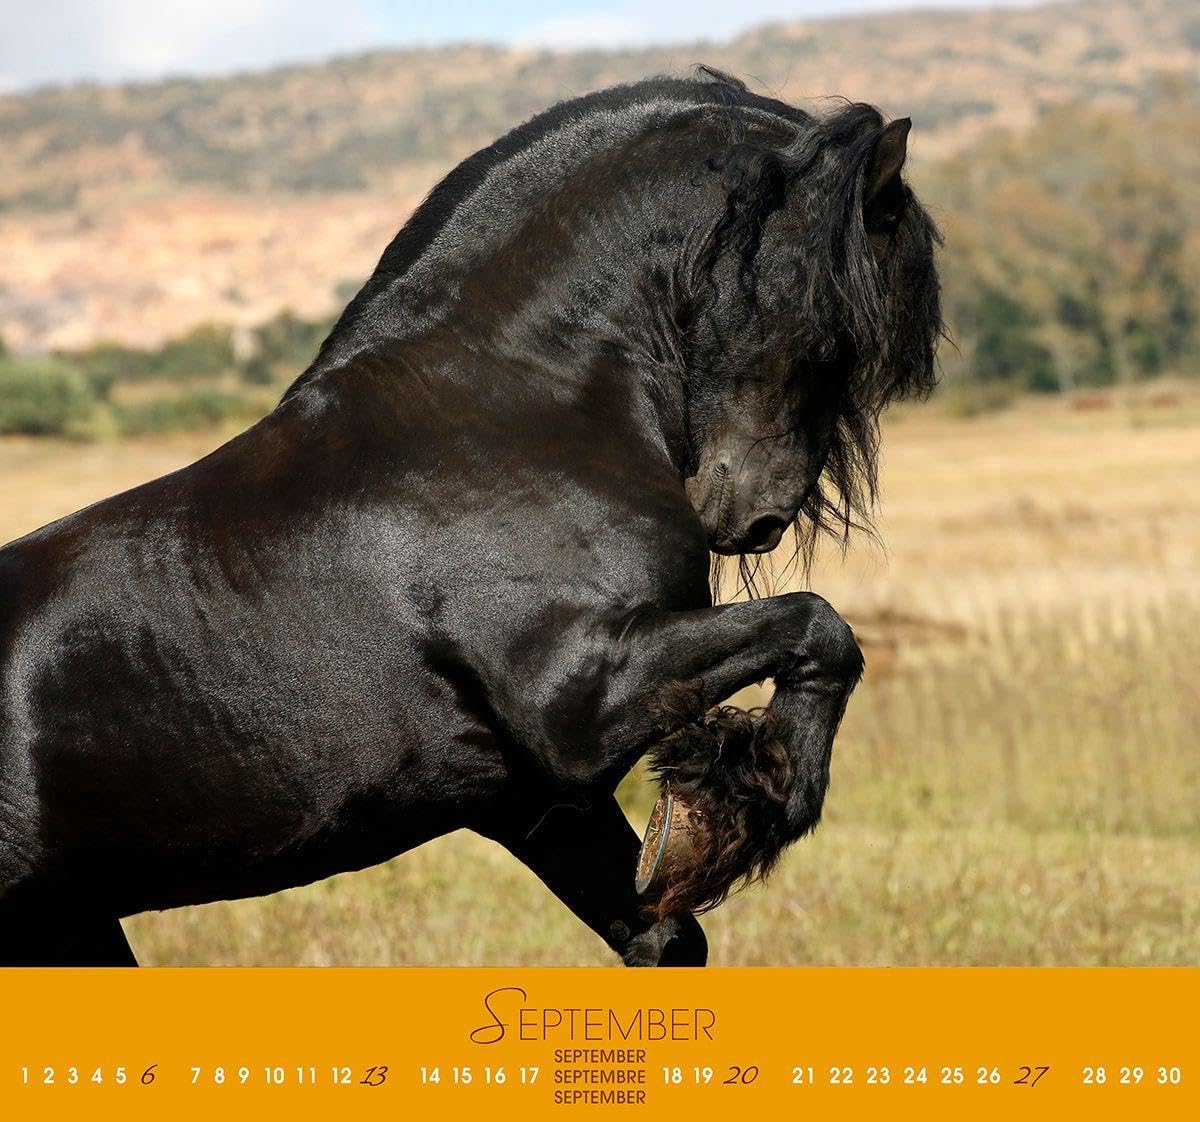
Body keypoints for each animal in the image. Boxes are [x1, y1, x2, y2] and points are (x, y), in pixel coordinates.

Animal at [0, 70, 941, 966]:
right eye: (833, 322)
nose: (756, 515)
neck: (503, 410)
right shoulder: (577, 701)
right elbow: (822, 628)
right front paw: (736, 804)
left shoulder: (533, 799)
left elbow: (665, 936)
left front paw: (701, 825)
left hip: (68, 927)